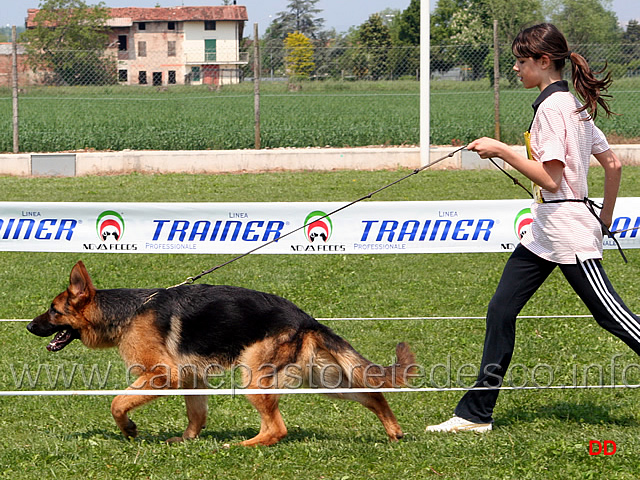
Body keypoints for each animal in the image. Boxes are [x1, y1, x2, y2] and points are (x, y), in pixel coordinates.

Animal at [26, 262, 416, 446]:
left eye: (53, 310)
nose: (29, 327)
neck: (128, 311)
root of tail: (305, 318)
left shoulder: (161, 375)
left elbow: (117, 402)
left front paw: (129, 428)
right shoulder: (190, 378)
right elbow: (196, 414)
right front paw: (186, 441)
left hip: (254, 378)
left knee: (277, 428)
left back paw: (243, 445)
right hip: (324, 379)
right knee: (373, 394)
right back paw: (394, 432)